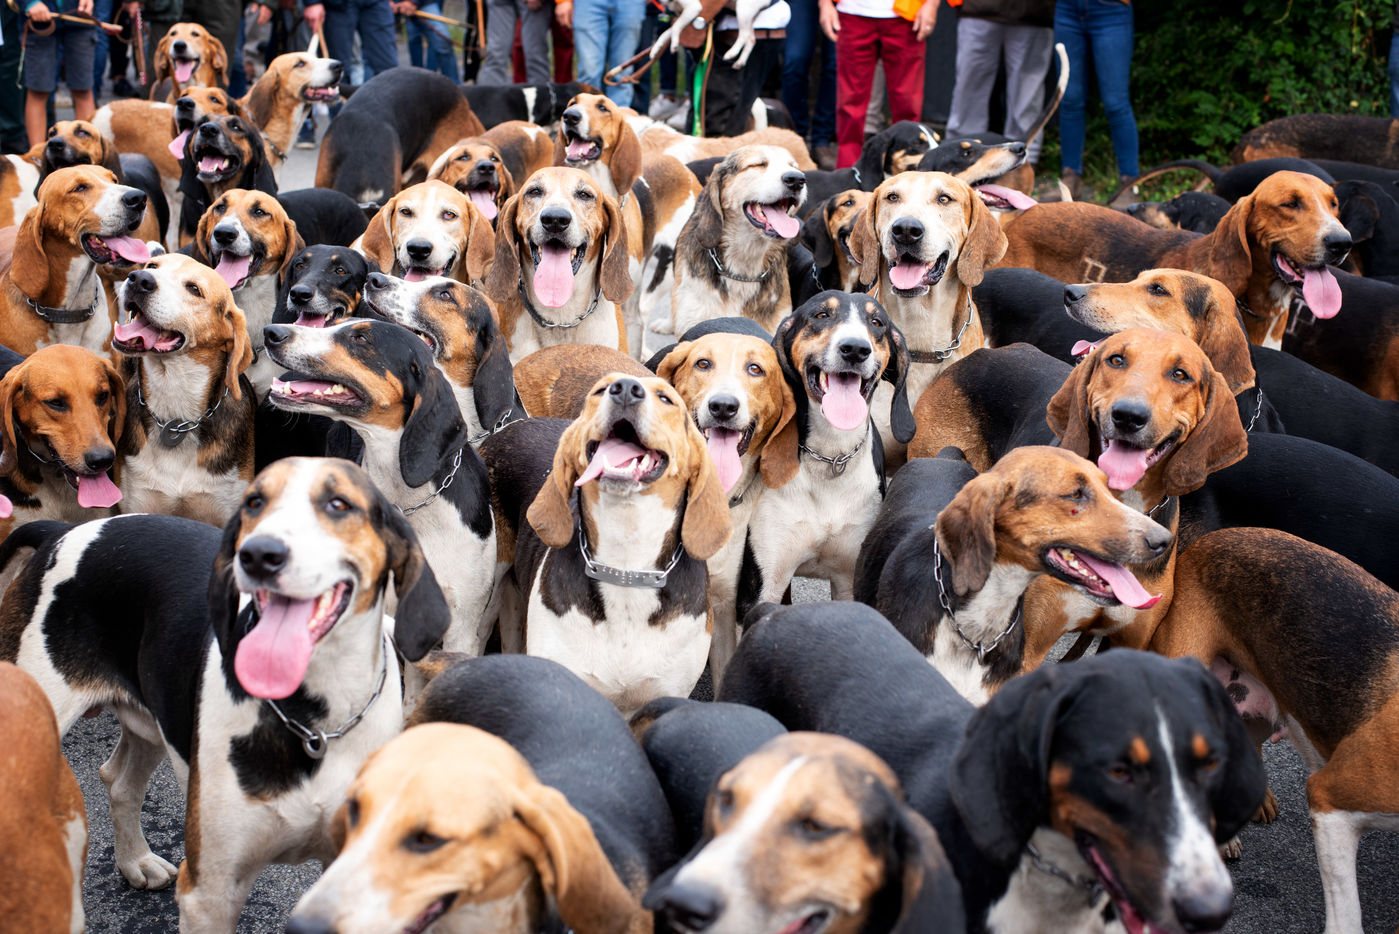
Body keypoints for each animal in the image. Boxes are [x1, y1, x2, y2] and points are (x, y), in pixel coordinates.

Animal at [738, 292, 913, 618]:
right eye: (821, 315)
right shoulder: (762, 587)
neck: (830, 455)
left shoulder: (849, 581)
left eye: (876, 322)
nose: (855, 349)